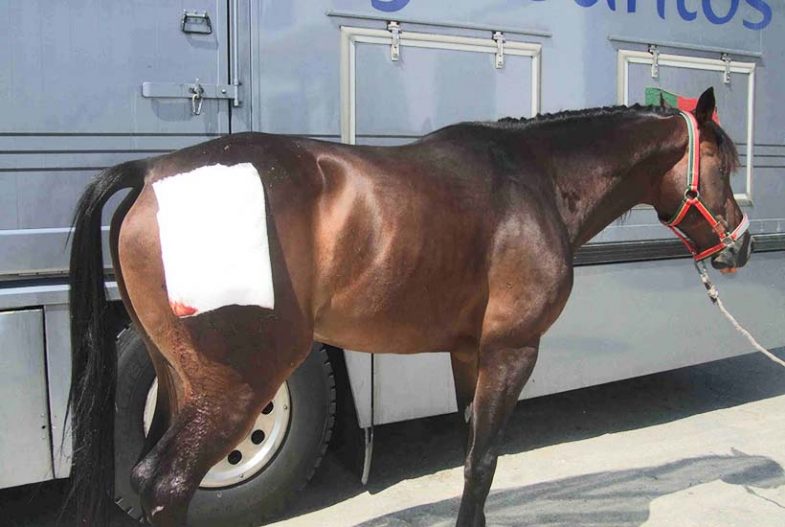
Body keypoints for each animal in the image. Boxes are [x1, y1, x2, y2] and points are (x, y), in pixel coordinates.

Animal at [67, 87, 751, 526]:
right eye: (725, 162)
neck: (535, 178)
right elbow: (484, 462)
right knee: (169, 484)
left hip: (176, 378)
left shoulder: (468, 353)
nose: (738, 247)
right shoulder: (511, 351)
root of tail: (152, 171)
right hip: (236, 387)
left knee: (147, 475)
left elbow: (472, 453)